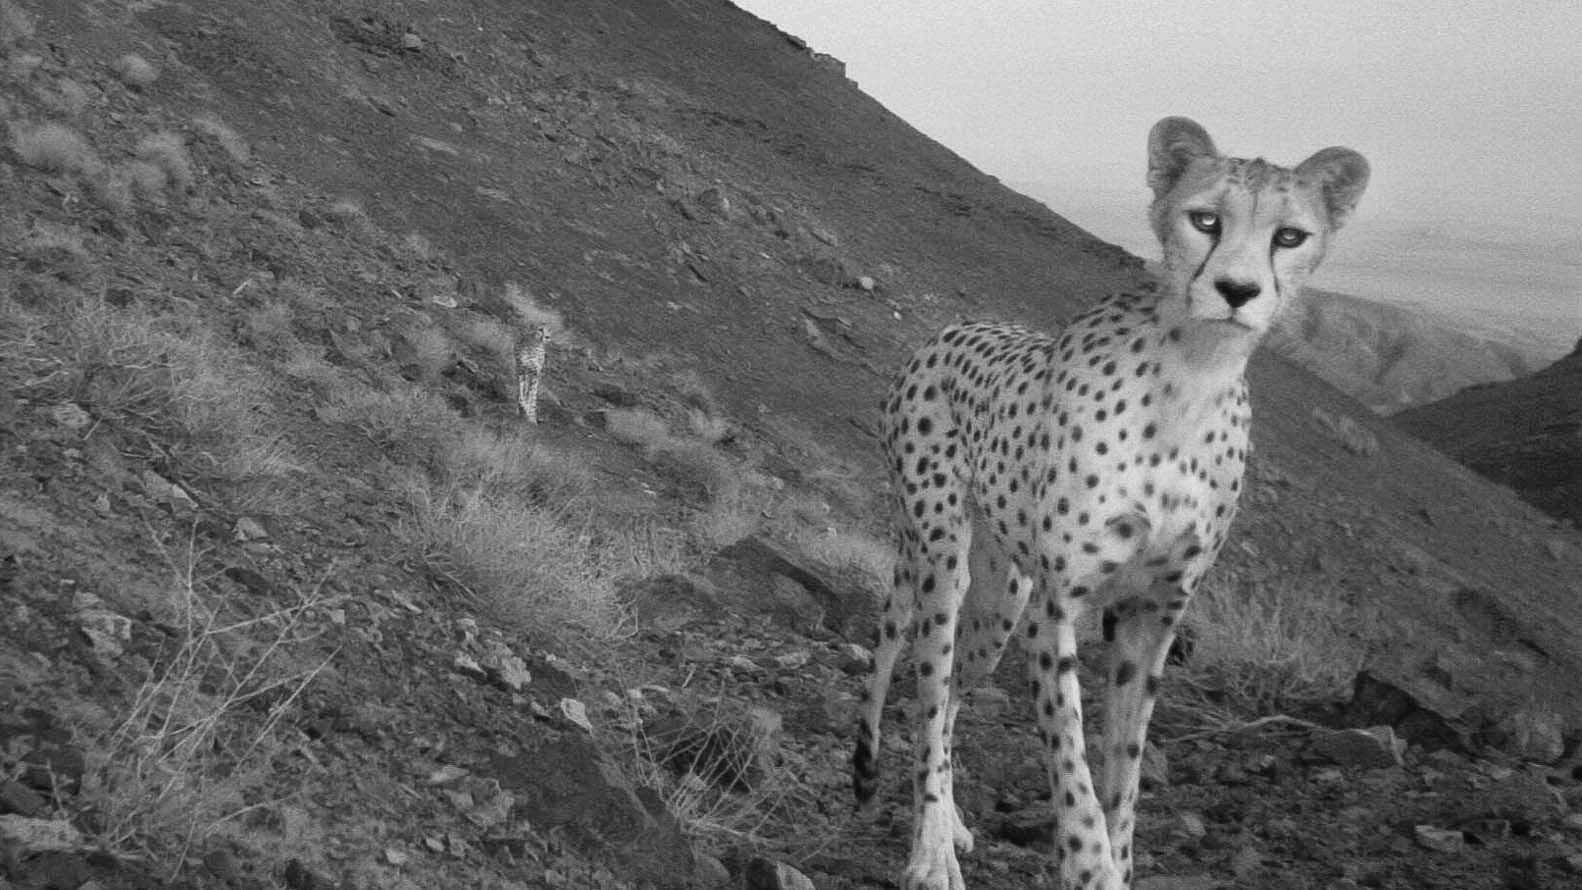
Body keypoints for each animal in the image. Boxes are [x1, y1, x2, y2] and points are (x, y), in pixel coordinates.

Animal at [852, 116, 1369, 890]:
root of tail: (948, 331)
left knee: (950, 701)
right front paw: (1086, 862)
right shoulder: (1058, 608)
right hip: (947, 557)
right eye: (1205, 219)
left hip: (1003, 602)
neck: (1192, 378)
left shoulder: (1152, 615)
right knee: (928, 687)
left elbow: (1123, 771)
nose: (1237, 289)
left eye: (1290, 235)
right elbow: (1073, 769)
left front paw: (1116, 858)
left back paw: (954, 826)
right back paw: (931, 848)